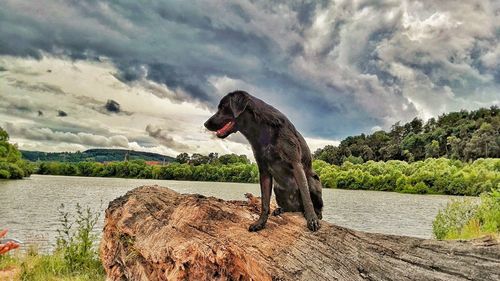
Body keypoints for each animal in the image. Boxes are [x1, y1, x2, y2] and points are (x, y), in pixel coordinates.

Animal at [204, 91, 324, 231]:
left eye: (223, 107)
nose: (205, 124)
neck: (261, 131)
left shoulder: (296, 164)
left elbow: (306, 197)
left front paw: (312, 219)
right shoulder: (264, 171)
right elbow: (265, 203)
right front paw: (260, 223)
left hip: (312, 180)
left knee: (313, 204)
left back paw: (315, 214)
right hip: (278, 189)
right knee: (292, 209)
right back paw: (280, 210)